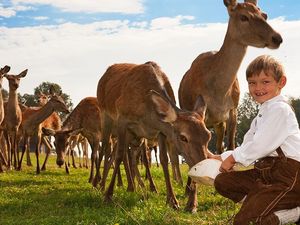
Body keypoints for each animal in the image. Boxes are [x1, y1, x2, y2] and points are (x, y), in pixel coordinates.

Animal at [96, 61, 211, 209]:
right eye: (183, 137)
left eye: (208, 136)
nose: (205, 169)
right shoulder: (122, 119)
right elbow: (119, 155)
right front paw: (108, 195)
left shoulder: (160, 131)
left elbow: (163, 159)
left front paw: (173, 200)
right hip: (106, 117)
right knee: (104, 149)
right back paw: (98, 184)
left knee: (126, 156)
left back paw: (131, 187)